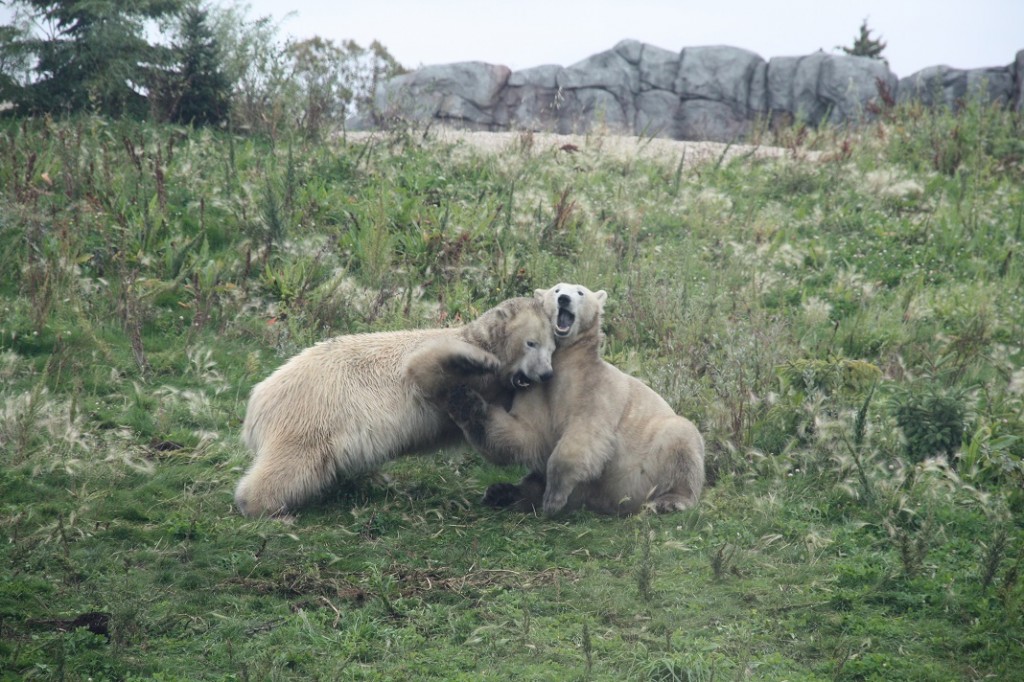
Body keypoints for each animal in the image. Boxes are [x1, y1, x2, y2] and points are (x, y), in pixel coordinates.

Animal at [235, 296, 557, 516]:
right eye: (531, 343)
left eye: (552, 347)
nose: (546, 374)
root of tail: (258, 400)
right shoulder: (431, 353)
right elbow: (424, 365)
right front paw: (480, 359)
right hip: (313, 416)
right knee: (293, 464)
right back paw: (262, 506)